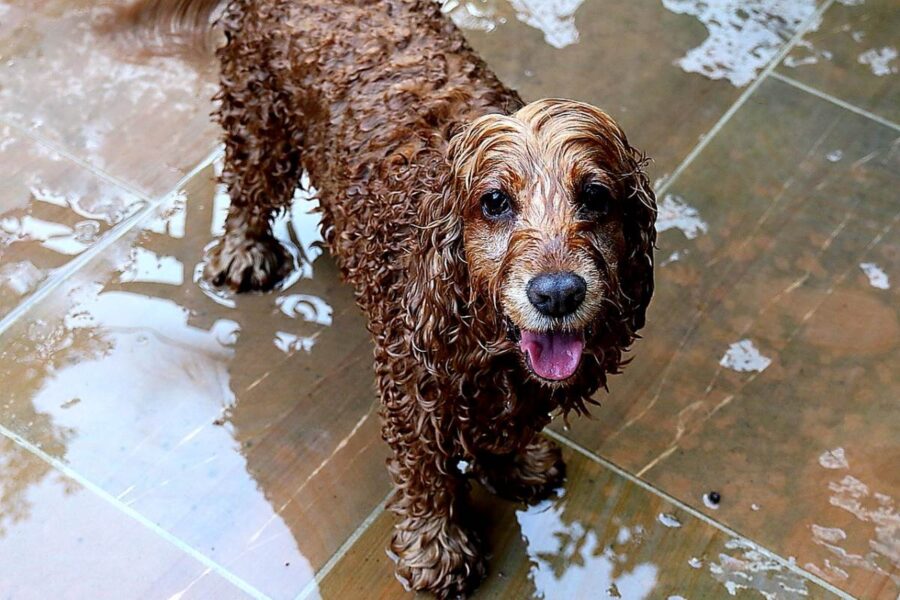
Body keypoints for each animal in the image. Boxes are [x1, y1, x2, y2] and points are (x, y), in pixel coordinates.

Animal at [116, 3, 656, 596]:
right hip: (255, 105)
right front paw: (437, 551)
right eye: (494, 201)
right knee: (248, 182)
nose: (557, 293)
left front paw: (516, 465)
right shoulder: (413, 380)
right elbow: (425, 474)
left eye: (595, 196)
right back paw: (243, 250)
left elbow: (509, 424)